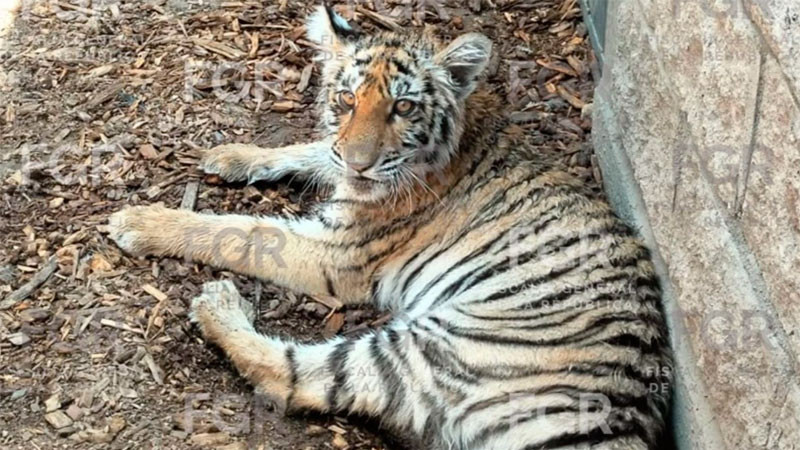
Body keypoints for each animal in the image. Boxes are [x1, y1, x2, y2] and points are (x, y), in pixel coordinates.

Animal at [107, 5, 673, 449]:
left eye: (403, 106)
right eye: (345, 100)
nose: (361, 164)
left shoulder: (338, 252)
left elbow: (242, 232)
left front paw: (139, 220)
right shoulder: (338, 166)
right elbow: (313, 149)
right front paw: (231, 154)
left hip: (442, 347)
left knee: (299, 377)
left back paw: (218, 306)